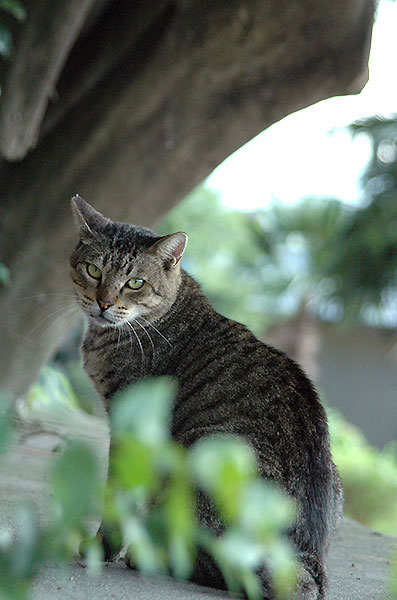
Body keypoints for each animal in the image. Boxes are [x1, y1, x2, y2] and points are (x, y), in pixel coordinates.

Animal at [69, 195, 342, 596]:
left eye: (135, 283)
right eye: (92, 270)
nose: (103, 303)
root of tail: (305, 560)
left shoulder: (131, 426)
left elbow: (118, 495)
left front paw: (103, 548)